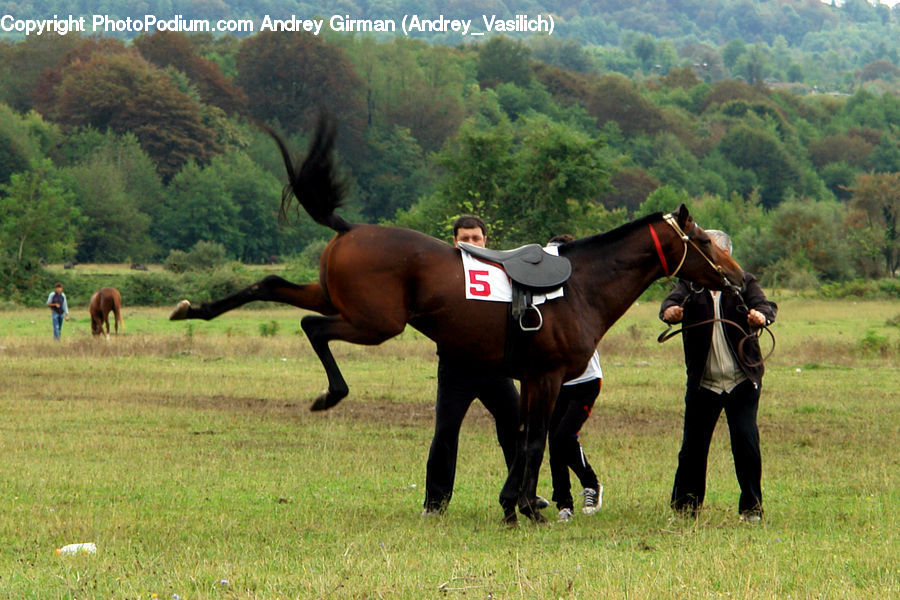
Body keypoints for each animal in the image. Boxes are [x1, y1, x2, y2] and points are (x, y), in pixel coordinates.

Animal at [169, 116, 745, 524]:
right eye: (705, 242)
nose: (739, 278)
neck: (581, 282)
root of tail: (351, 228)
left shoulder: (531, 379)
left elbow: (524, 437)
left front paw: (520, 502)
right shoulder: (547, 376)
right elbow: (534, 439)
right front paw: (523, 506)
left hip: (336, 296)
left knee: (269, 286)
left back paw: (194, 308)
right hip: (373, 321)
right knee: (314, 327)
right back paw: (331, 393)